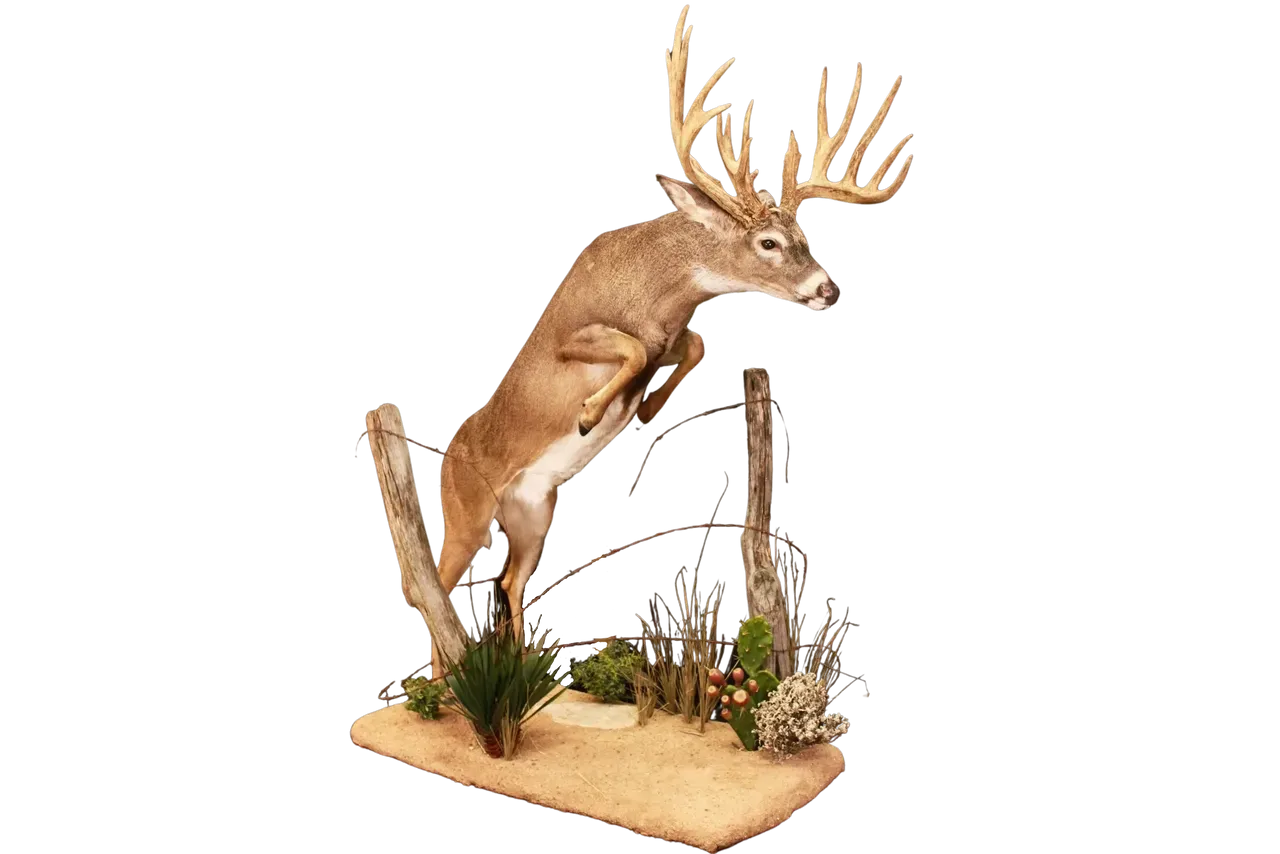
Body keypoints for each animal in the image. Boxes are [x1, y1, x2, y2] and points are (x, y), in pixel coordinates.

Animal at [429, 4, 913, 677]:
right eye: (768, 242)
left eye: (804, 236)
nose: (828, 288)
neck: (655, 285)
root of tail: (448, 457)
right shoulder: (569, 336)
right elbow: (630, 349)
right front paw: (590, 413)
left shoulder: (676, 333)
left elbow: (693, 347)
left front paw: (645, 410)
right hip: (467, 508)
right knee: (434, 586)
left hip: (532, 513)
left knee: (505, 584)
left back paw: (524, 673)